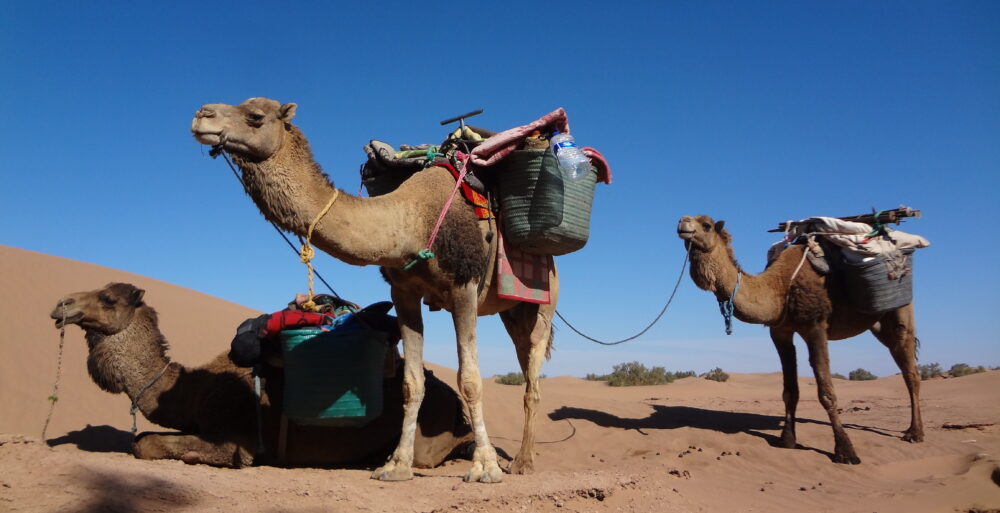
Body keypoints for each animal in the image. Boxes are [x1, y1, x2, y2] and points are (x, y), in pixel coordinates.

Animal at [51, 282, 476, 470]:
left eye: (109, 299)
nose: (62, 304)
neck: (192, 391)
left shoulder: (236, 437)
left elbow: (146, 444)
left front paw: (192, 456)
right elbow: (141, 439)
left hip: (430, 431)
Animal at [191, 99, 560, 480]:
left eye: (255, 117)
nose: (203, 115)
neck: (413, 219)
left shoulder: (464, 288)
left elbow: (470, 379)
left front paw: (485, 467)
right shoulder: (404, 293)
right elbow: (412, 382)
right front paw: (396, 465)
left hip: (543, 300)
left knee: (532, 377)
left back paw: (522, 462)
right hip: (510, 311)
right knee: (525, 362)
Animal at [676, 214, 924, 462]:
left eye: (706, 225)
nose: (682, 223)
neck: (781, 287)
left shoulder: (815, 327)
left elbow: (826, 392)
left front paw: (845, 451)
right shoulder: (780, 331)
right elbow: (789, 391)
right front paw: (787, 440)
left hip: (902, 310)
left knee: (910, 370)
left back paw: (915, 433)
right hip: (878, 324)